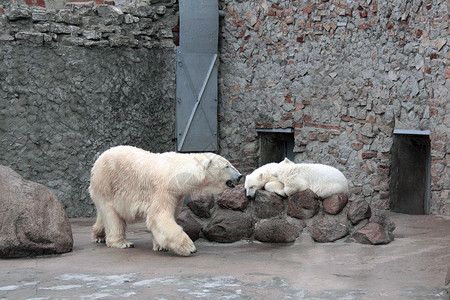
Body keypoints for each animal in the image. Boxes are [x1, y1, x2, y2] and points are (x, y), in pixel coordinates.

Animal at [89, 145, 241, 255]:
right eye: (227, 165)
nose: (239, 176)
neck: (177, 172)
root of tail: (98, 159)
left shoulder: (177, 195)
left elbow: (168, 217)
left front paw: (160, 246)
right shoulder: (164, 189)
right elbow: (159, 216)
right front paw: (189, 247)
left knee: (104, 214)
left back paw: (98, 235)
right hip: (107, 183)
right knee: (111, 214)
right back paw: (122, 242)